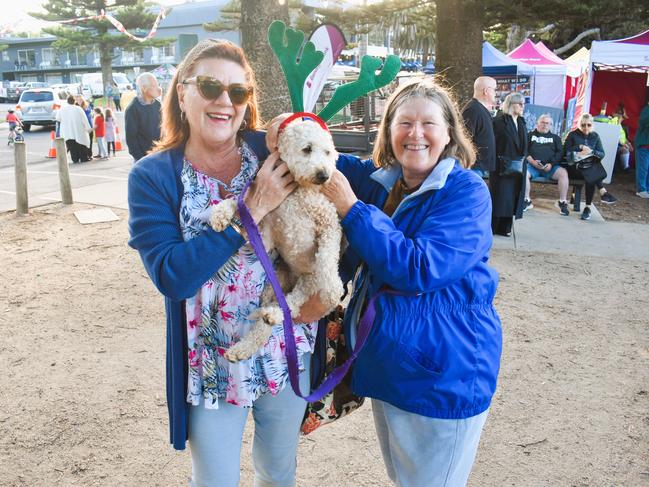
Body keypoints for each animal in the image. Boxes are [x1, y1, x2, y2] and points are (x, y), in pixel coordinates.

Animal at [211, 118, 344, 362]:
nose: (324, 175)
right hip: (273, 286)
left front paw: (333, 289)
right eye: (307, 148)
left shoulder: (330, 224)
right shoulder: (263, 234)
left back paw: (273, 314)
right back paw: (246, 343)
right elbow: (241, 206)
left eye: (328, 152)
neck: (299, 191)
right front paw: (221, 213)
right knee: (271, 318)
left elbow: (328, 257)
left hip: (310, 282)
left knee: (293, 304)